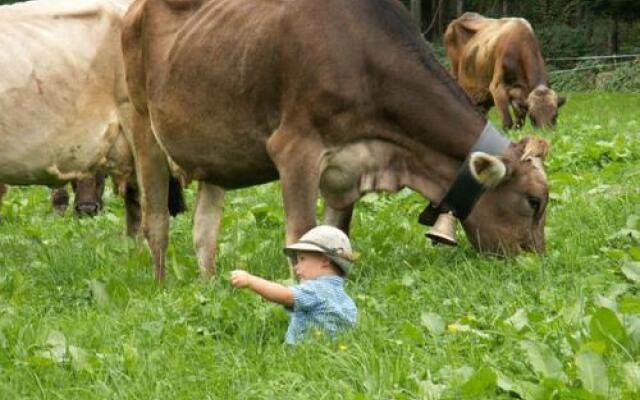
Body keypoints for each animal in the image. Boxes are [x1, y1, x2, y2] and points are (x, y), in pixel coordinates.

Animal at [124, 0, 552, 282]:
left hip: (213, 157)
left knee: (204, 230)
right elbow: (299, 236)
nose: (538, 262)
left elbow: (332, 239)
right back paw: (162, 287)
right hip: (143, 126)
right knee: (155, 221)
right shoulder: (295, 149)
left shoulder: (349, 173)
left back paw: (209, 286)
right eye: (533, 201)